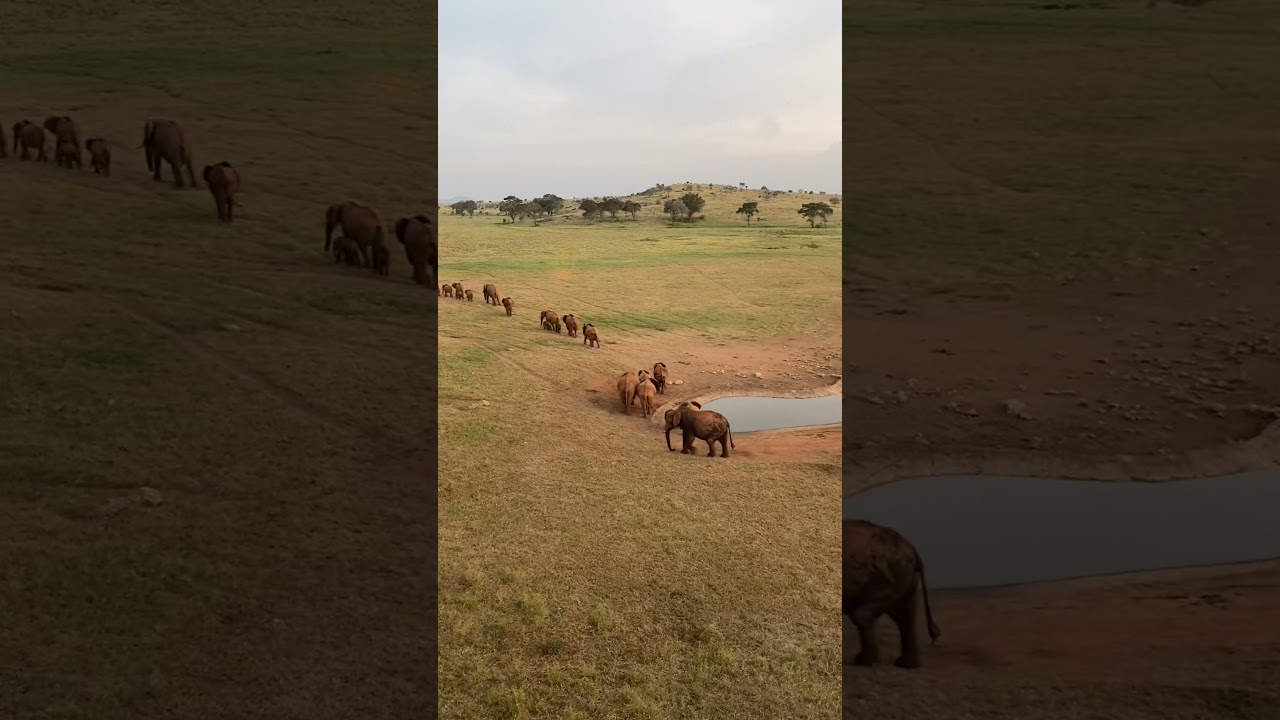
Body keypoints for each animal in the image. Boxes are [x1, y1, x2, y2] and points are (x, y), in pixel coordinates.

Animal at [843, 519, 941, 669]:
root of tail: (912, 549)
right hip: (903, 575)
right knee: (905, 617)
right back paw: (906, 665)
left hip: (885, 575)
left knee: (862, 615)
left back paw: (863, 662)